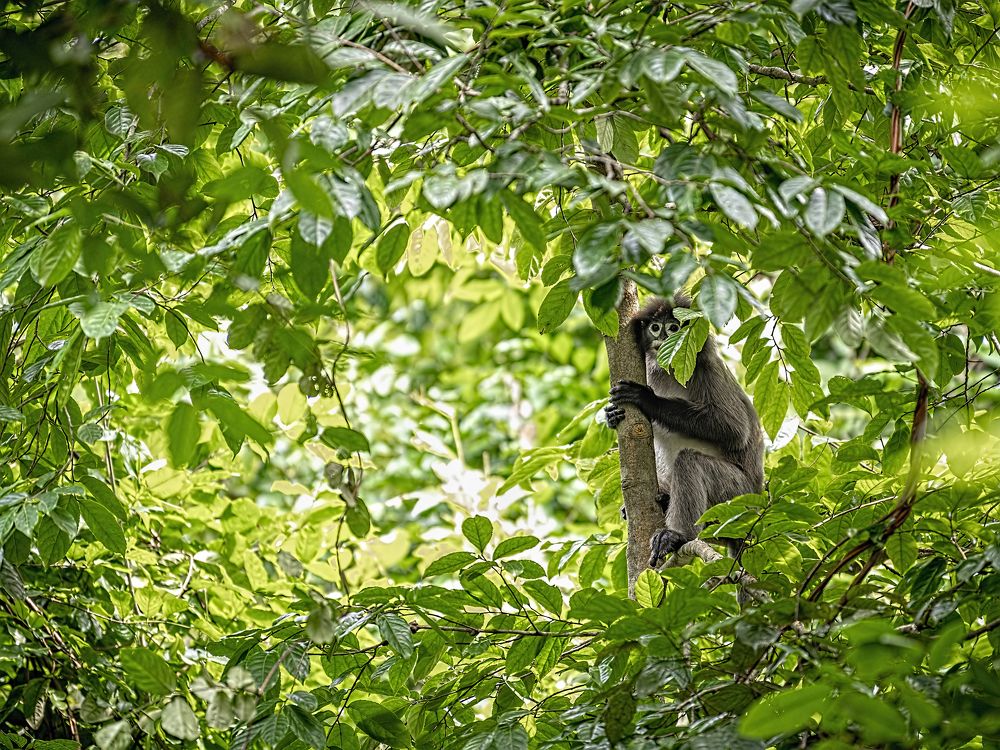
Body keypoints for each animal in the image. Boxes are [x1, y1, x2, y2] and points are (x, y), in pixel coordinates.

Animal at [605, 294, 764, 569]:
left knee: (690, 461)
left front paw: (648, 400)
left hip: (738, 497)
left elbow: (734, 428)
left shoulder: (706, 368)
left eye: (674, 328)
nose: (662, 338)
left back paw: (676, 536)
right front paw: (611, 415)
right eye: (655, 327)